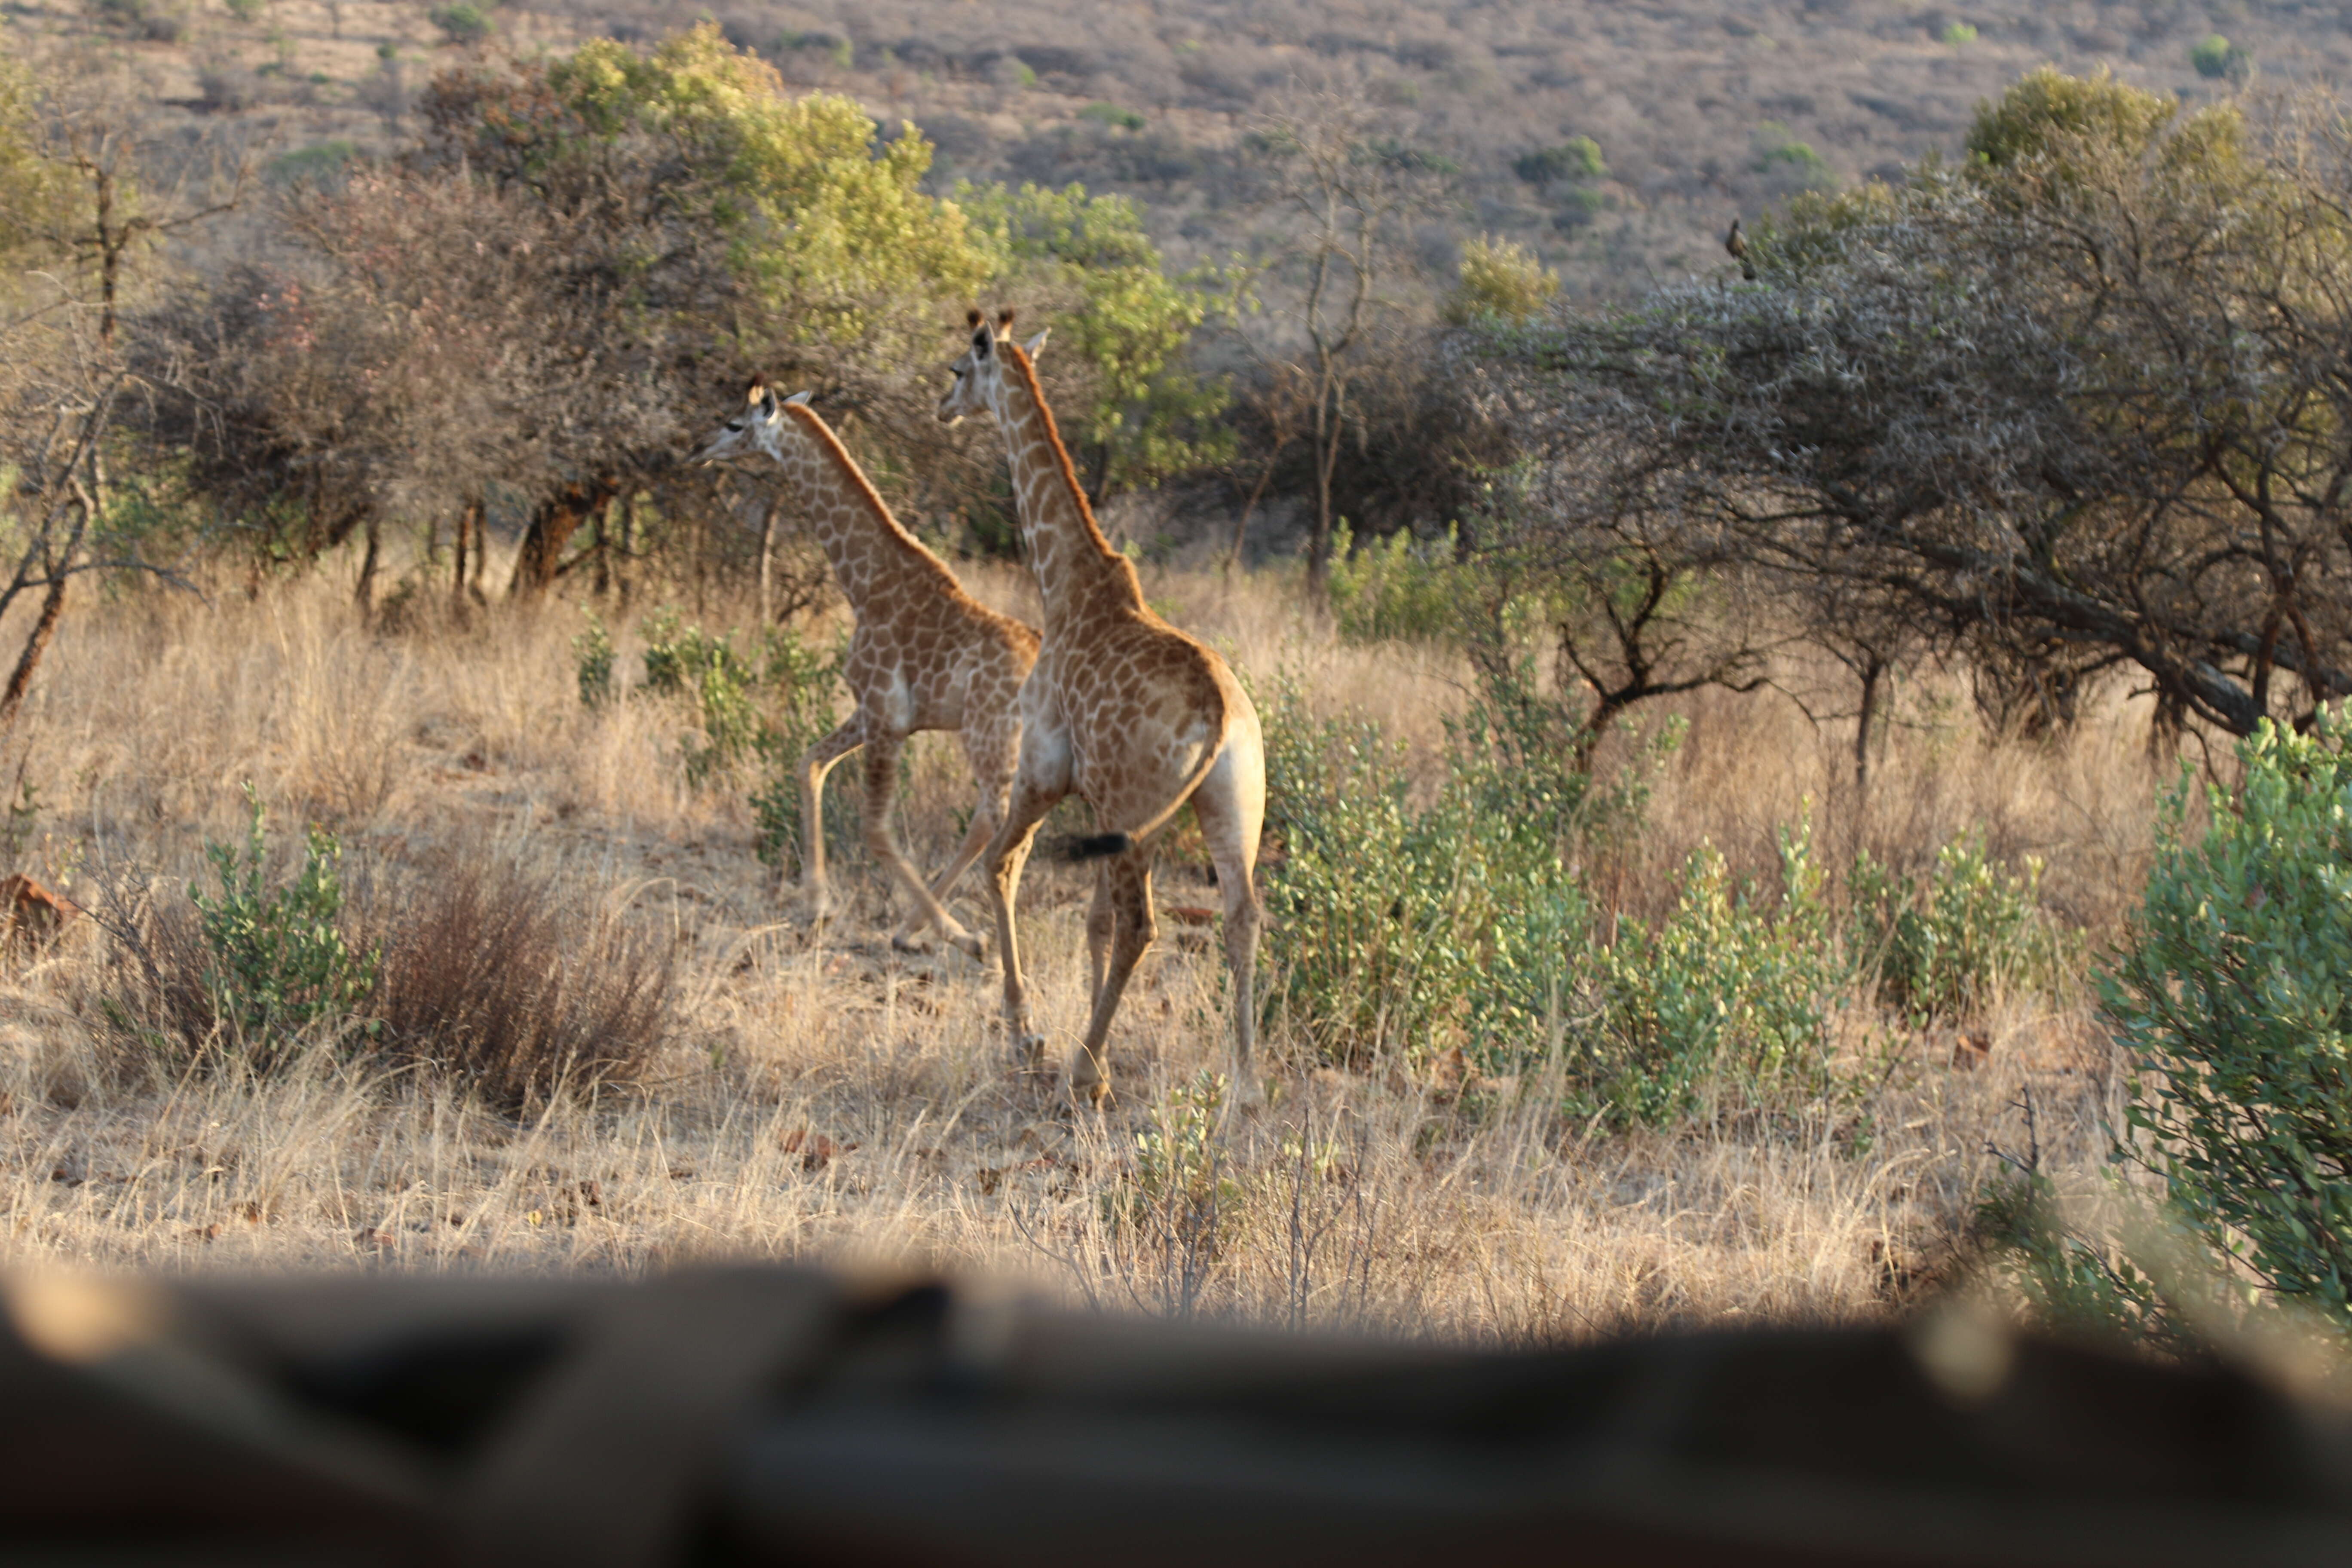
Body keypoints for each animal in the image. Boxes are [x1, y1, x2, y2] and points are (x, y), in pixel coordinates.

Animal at [686, 385, 1039, 964]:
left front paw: (957, 932)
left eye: (735, 423)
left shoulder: (884, 714)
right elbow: (809, 762)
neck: (864, 583)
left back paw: (952, 934)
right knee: (1010, 828)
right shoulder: (873, 711)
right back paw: (917, 928)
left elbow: (874, 828)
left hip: (990, 737)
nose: (697, 449)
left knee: (995, 820)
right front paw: (816, 905)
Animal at [936, 312, 1270, 1109]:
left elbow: (1001, 865)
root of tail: (1220, 716)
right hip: (1229, 803)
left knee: (1143, 925)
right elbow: (1088, 919)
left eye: (960, 368)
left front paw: (1026, 1035)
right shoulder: (1095, 801)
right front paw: (1084, 1037)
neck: (1063, 583)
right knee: (1241, 917)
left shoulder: (1043, 769)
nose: (942, 407)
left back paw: (1083, 1072)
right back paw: (1245, 1086)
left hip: (1139, 807)